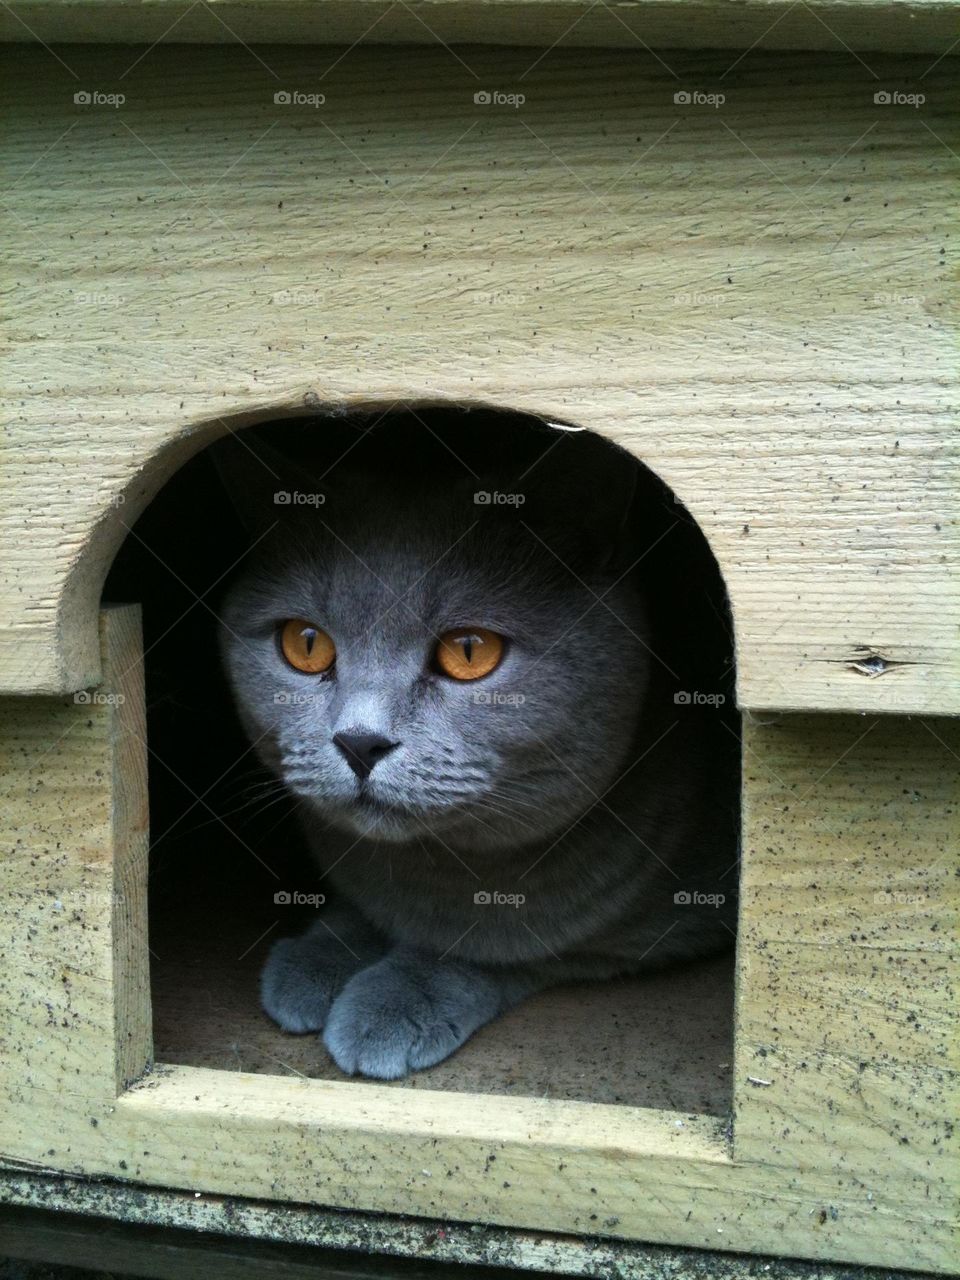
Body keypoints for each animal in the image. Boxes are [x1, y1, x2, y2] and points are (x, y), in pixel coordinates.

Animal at [213, 417, 737, 1080]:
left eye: (469, 651)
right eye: (305, 644)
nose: (360, 742)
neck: (431, 874)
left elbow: (513, 944)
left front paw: (396, 997)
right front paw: (320, 954)